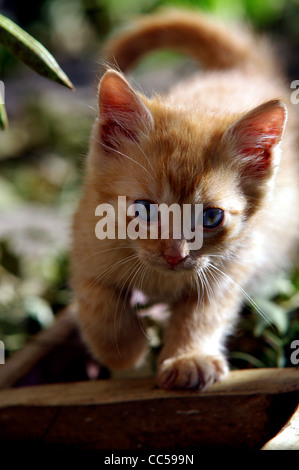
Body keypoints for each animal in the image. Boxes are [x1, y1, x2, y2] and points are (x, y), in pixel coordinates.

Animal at [72, 10, 299, 390]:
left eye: (211, 217)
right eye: (144, 209)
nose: (175, 255)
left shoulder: (233, 264)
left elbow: (203, 314)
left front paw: (188, 357)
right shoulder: (87, 244)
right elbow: (99, 303)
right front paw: (124, 351)